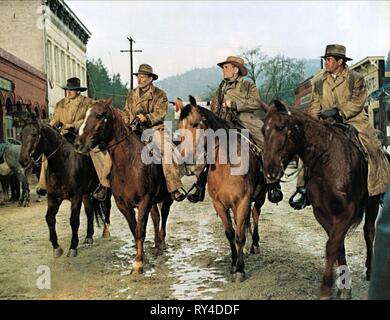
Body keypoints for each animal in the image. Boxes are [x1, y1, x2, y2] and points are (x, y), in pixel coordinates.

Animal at [17, 110, 112, 258]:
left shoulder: (76, 196)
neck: (63, 164)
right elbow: (49, 218)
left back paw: (106, 231)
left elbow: (74, 220)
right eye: (21, 135)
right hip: (86, 194)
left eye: (34, 134)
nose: (23, 160)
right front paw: (56, 247)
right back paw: (89, 236)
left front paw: (72, 247)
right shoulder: (53, 197)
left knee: (107, 206)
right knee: (90, 212)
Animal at [73, 99, 174, 274]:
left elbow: (140, 230)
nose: (78, 143)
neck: (130, 164)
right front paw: (142, 256)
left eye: (99, 115)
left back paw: (161, 243)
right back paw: (156, 245)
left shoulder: (144, 201)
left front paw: (138, 264)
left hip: (166, 198)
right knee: (156, 218)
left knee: (164, 217)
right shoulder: (123, 204)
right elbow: (134, 230)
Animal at [177, 95, 266, 282]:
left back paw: (254, 244)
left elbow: (240, 236)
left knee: (255, 214)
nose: (184, 159)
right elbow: (231, 233)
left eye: (195, 124)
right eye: (179, 127)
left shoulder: (243, 202)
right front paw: (233, 265)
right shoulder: (219, 203)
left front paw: (240, 270)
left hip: (260, 196)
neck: (227, 166)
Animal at [260, 100, 380, 300]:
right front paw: (343, 287)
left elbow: (332, 246)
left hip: (373, 202)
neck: (327, 161)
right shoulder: (322, 212)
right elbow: (338, 245)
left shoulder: (347, 211)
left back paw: (371, 270)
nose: (270, 170)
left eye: (280, 127)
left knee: (369, 231)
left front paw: (325, 290)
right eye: (263, 130)